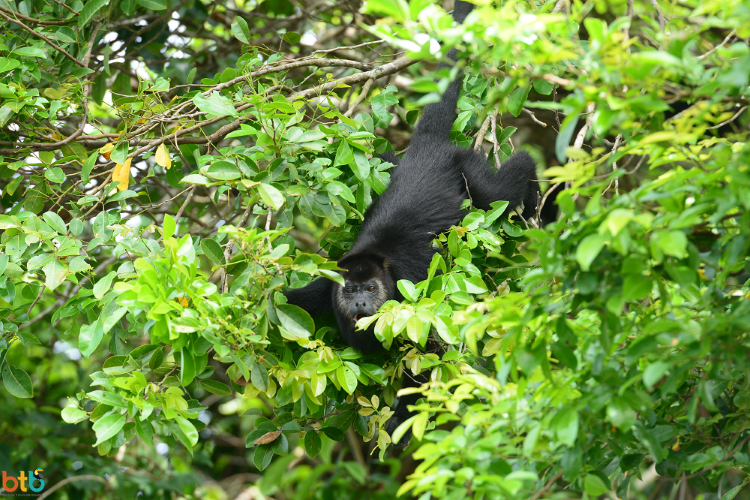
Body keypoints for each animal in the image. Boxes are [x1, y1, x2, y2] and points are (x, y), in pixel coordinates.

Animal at [288, 0, 540, 444]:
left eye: (371, 289)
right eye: (350, 290)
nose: (360, 303)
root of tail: (426, 149)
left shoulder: (407, 297)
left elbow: (426, 356)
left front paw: (403, 417)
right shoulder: (325, 284)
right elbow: (285, 301)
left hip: (467, 171)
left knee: (500, 193)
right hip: (392, 166)